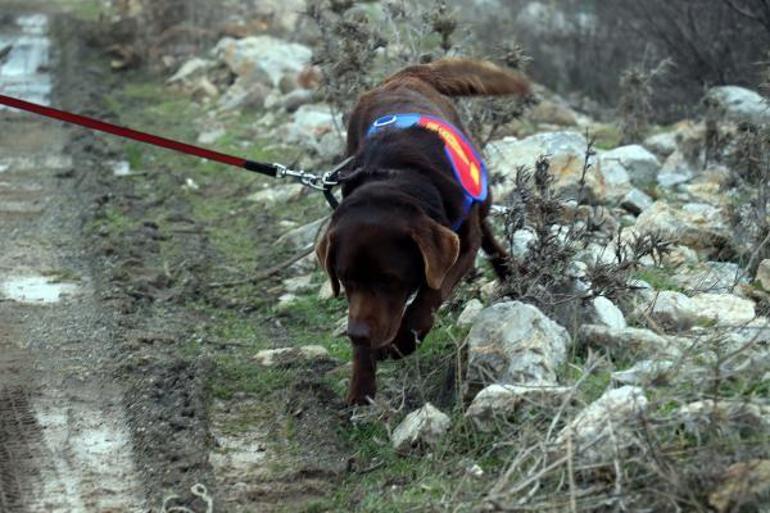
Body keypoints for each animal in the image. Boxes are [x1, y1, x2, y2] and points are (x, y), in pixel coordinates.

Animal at [314, 59, 528, 404]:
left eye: (389, 280)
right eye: (345, 279)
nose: (357, 335)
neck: (398, 177)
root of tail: (403, 77)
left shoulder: (461, 246)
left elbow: (429, 295)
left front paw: (402, 342)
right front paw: (361, 388)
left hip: (479, 193)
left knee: (487, 232)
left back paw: (508, 270)